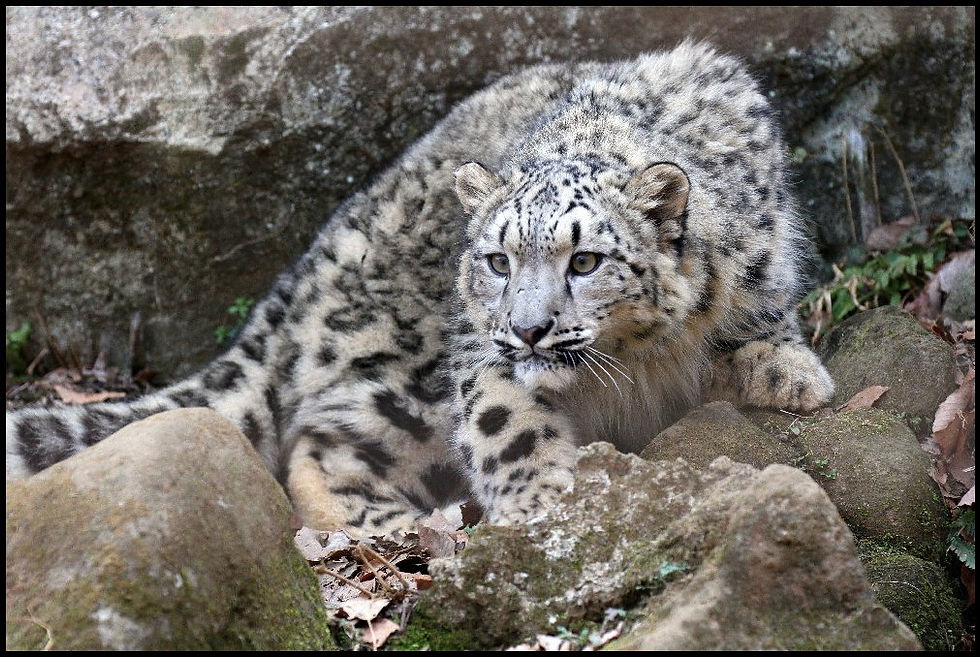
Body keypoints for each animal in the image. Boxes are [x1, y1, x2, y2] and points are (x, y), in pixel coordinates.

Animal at [5, 41, 834, 535]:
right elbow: (502, 417)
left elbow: (759, 295)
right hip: (398, 376)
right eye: (497, 261)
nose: (528, 329)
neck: (636, 358)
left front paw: (784, 372)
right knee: (318, 444)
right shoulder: (478, 347)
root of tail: (299, 276)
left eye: (584, 261)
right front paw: (540, 500)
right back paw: (391, 526)